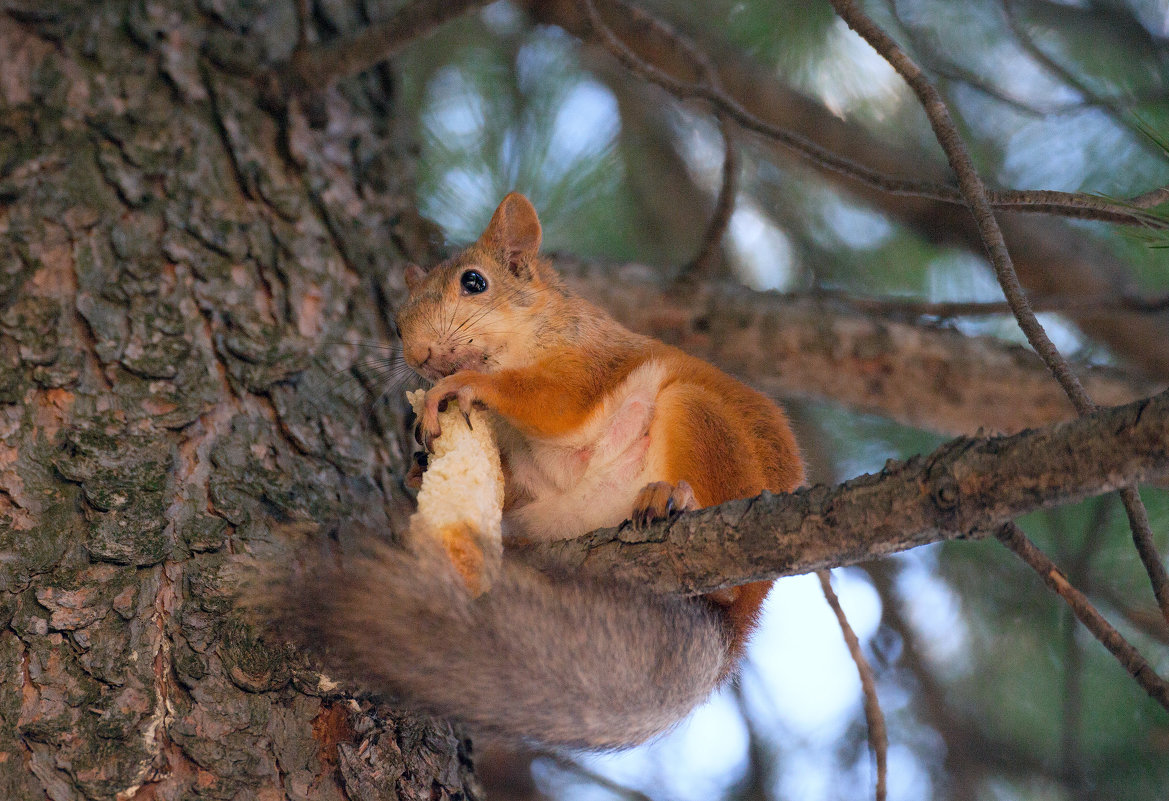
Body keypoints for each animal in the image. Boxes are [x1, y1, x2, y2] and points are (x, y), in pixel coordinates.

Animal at [267, 191, 804, 748]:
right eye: (396, 321)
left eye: (474, 282)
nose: (419, 355)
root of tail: (748, 612)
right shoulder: (526, 467)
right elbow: (514, 477)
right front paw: (420, 465)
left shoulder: (588, 365)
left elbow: (554, 403)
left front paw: (459, 387)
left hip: (699, 418)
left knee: (726, 576)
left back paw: (674, 499)